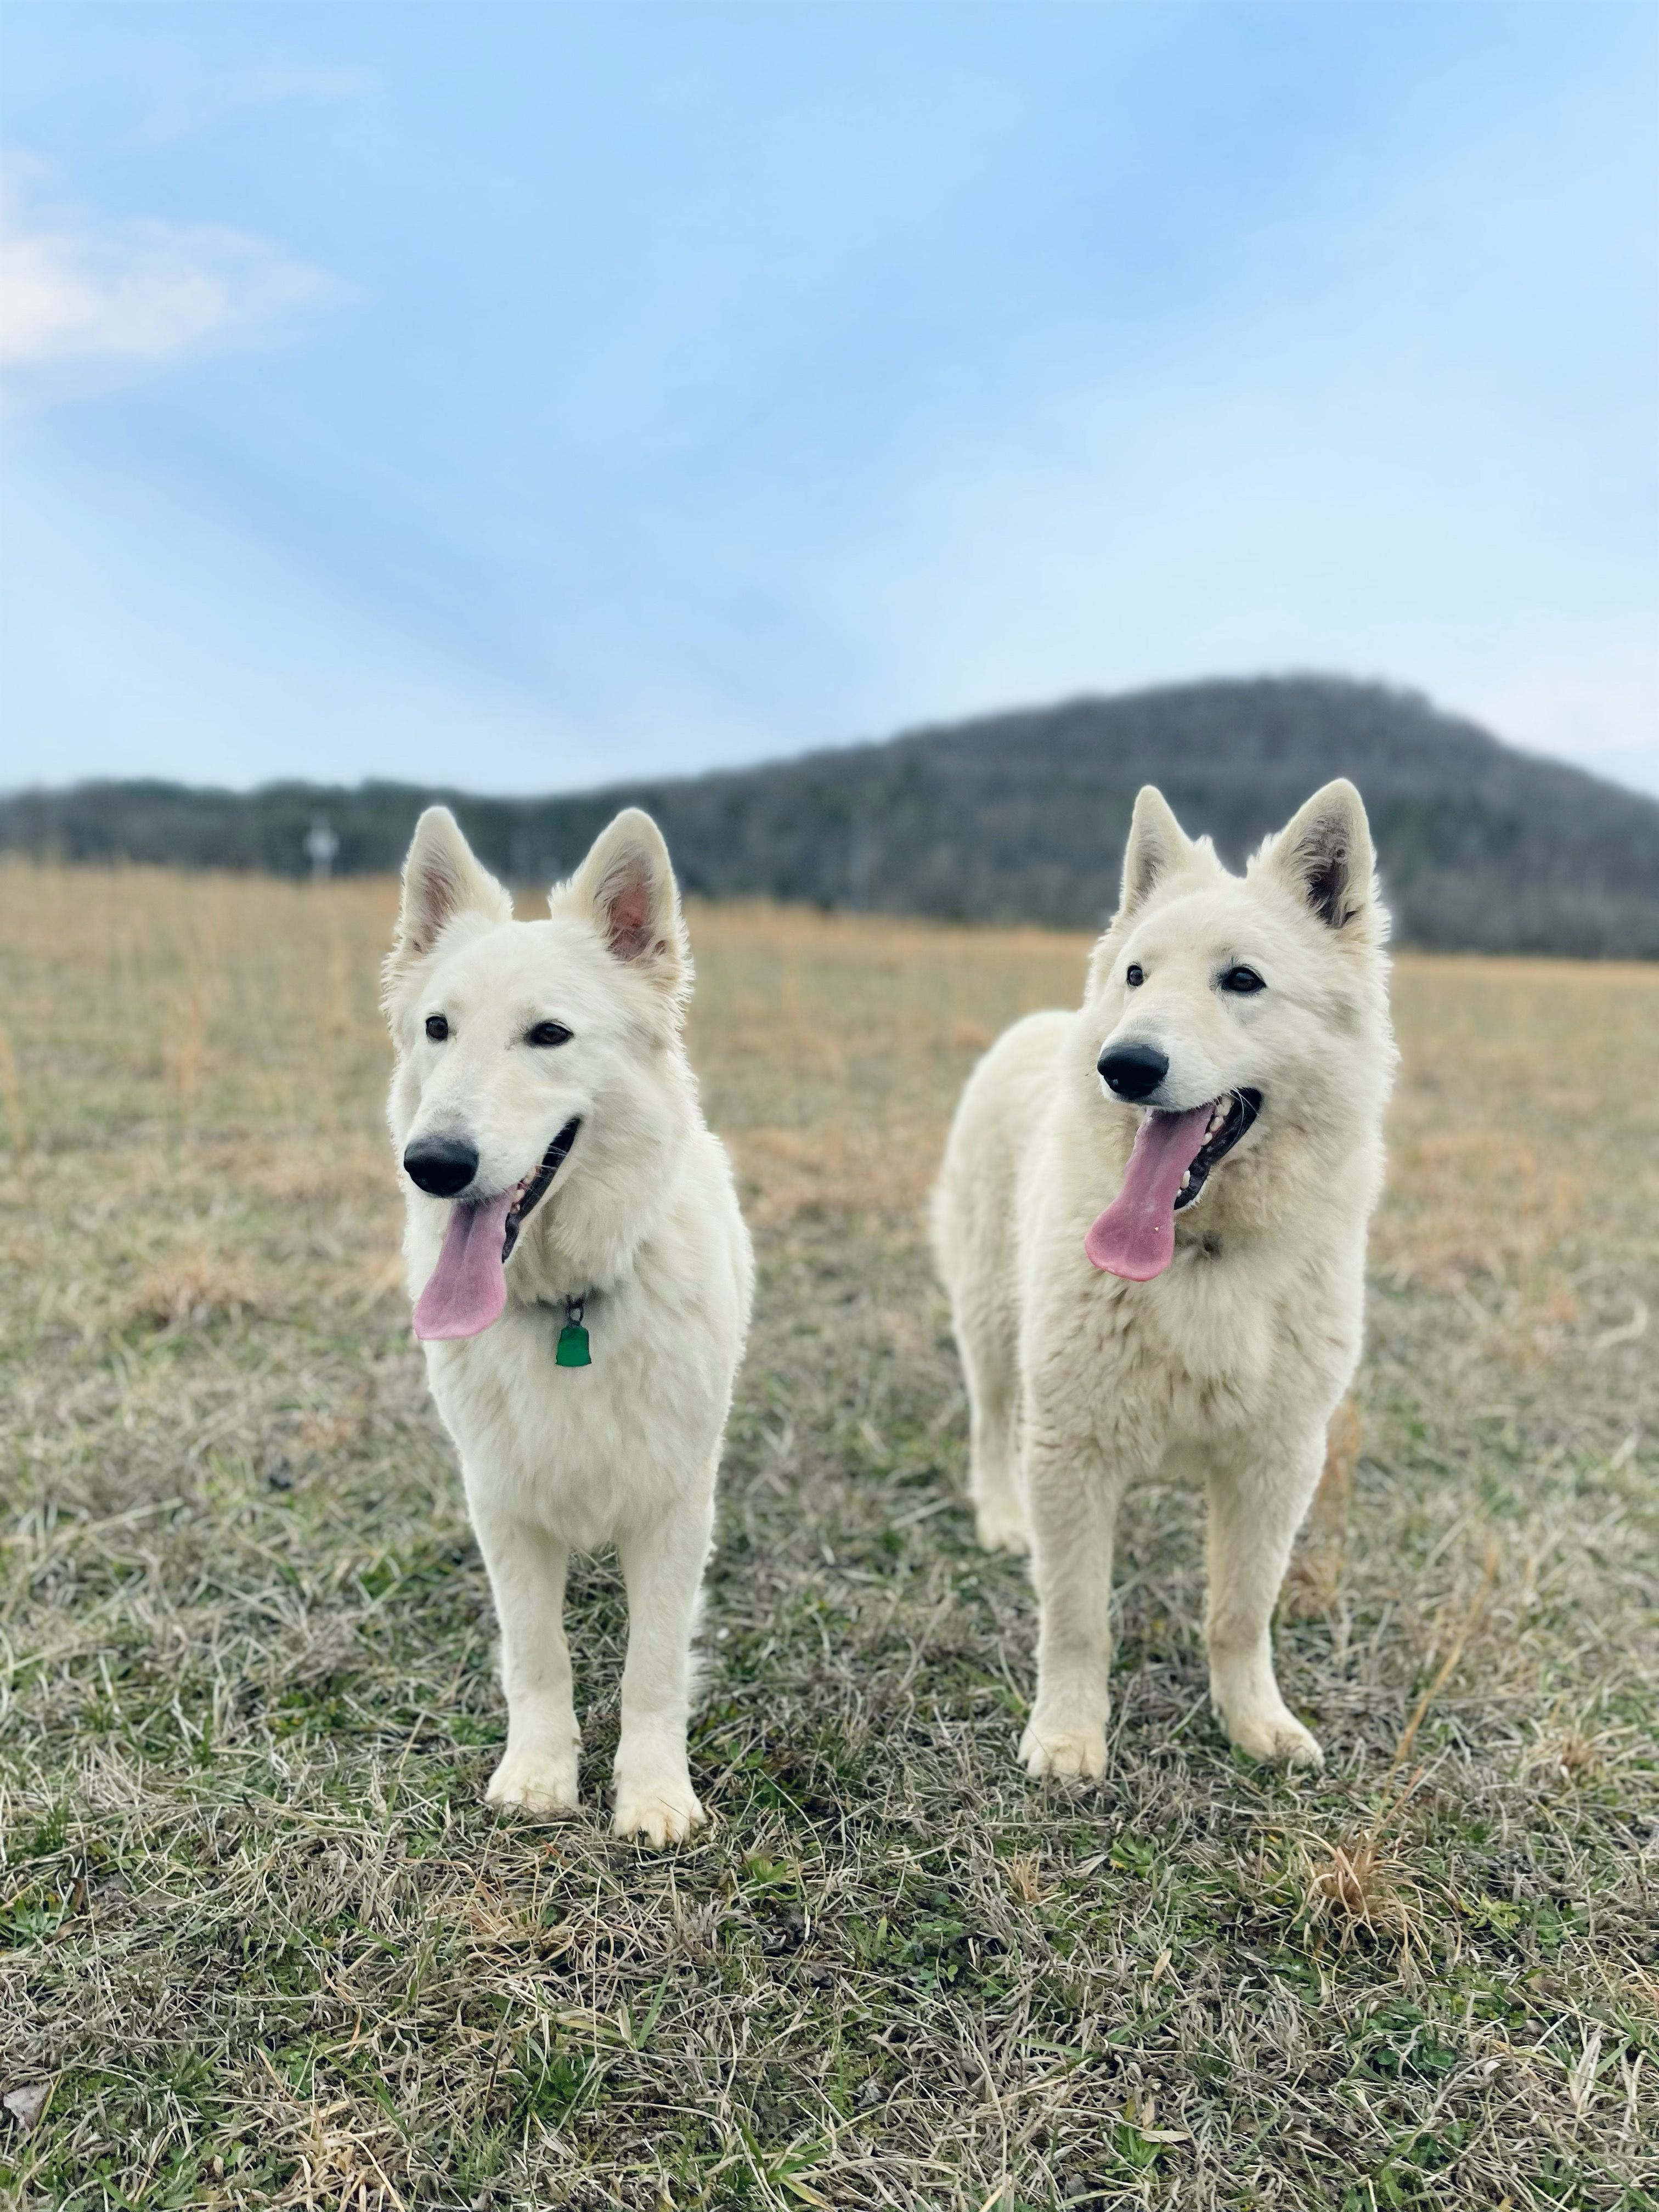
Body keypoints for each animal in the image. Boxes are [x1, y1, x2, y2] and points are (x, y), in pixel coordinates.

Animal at [384, 805, 752, 1843]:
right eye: (438, 1028)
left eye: (548, 1034)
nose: (432, 1163)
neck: (568, 1304)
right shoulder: (503, 1503)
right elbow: (537, 1655)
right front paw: (541, 1774)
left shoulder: (672, 1507)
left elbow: (653, 1667)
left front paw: (654, 1792)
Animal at [932, 780, 1394, 1775]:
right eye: (1139, 976)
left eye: (1242, 981)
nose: (1125, 1065)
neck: (1199, 1251)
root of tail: (1045, 1022)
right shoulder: (1072, 1450)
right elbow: (1074, 1619)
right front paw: (1067, 1735)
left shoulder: (1275, 1462)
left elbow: (1239, 1613)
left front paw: (1253, 1722)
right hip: (989, 1318)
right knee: (990, 1419)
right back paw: (1001, 1515)